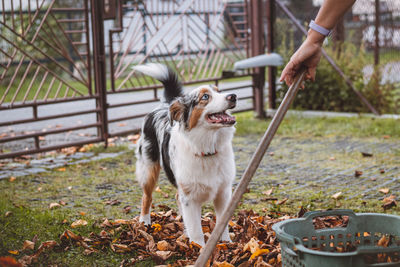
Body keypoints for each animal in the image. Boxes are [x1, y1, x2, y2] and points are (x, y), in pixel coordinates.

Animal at [134, 63, 238, 247]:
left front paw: (226, 243)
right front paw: (199, 249)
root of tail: (164, 105)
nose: (233, 96)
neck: (207, 149)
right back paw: (144, 221)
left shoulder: (223, 192)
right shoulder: (190, 198)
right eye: (205, 97)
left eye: (219, 91)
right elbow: (196, 231)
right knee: (147, 197)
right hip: (148, 170)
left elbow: (222, 222)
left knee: (176, 197)